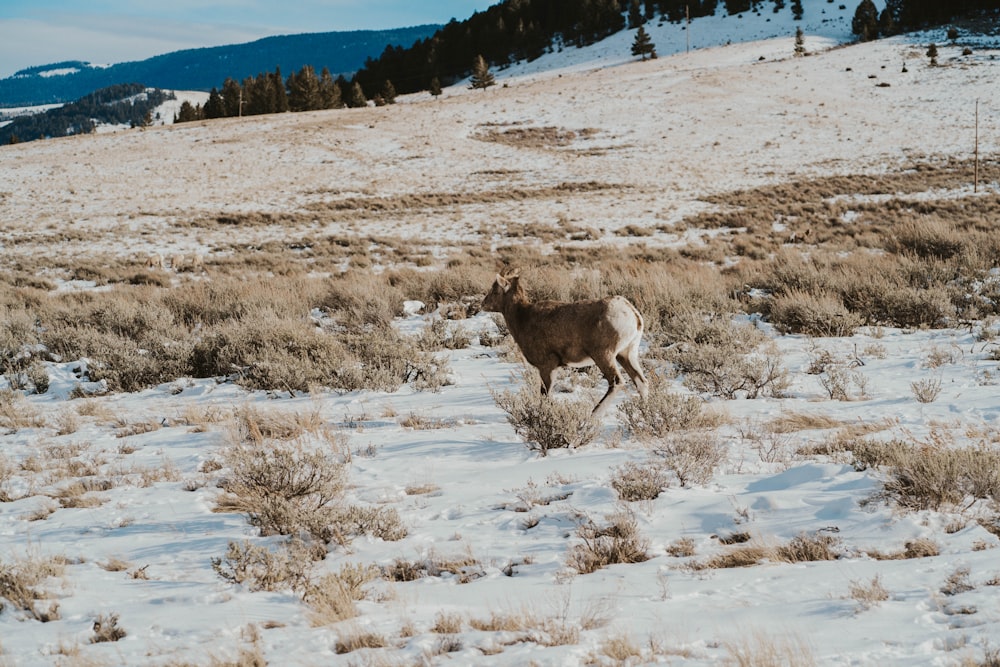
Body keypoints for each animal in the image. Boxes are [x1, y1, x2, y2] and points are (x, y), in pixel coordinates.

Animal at [482, 268, 648, 414]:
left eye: (495, 291)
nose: (483, 304)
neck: (522, 318)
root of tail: (632, 314)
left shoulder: (547, 367)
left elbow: (545, 396)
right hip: (626, 354)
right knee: (641, 382)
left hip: (603, 356)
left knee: (617, 382)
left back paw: (591, 417)